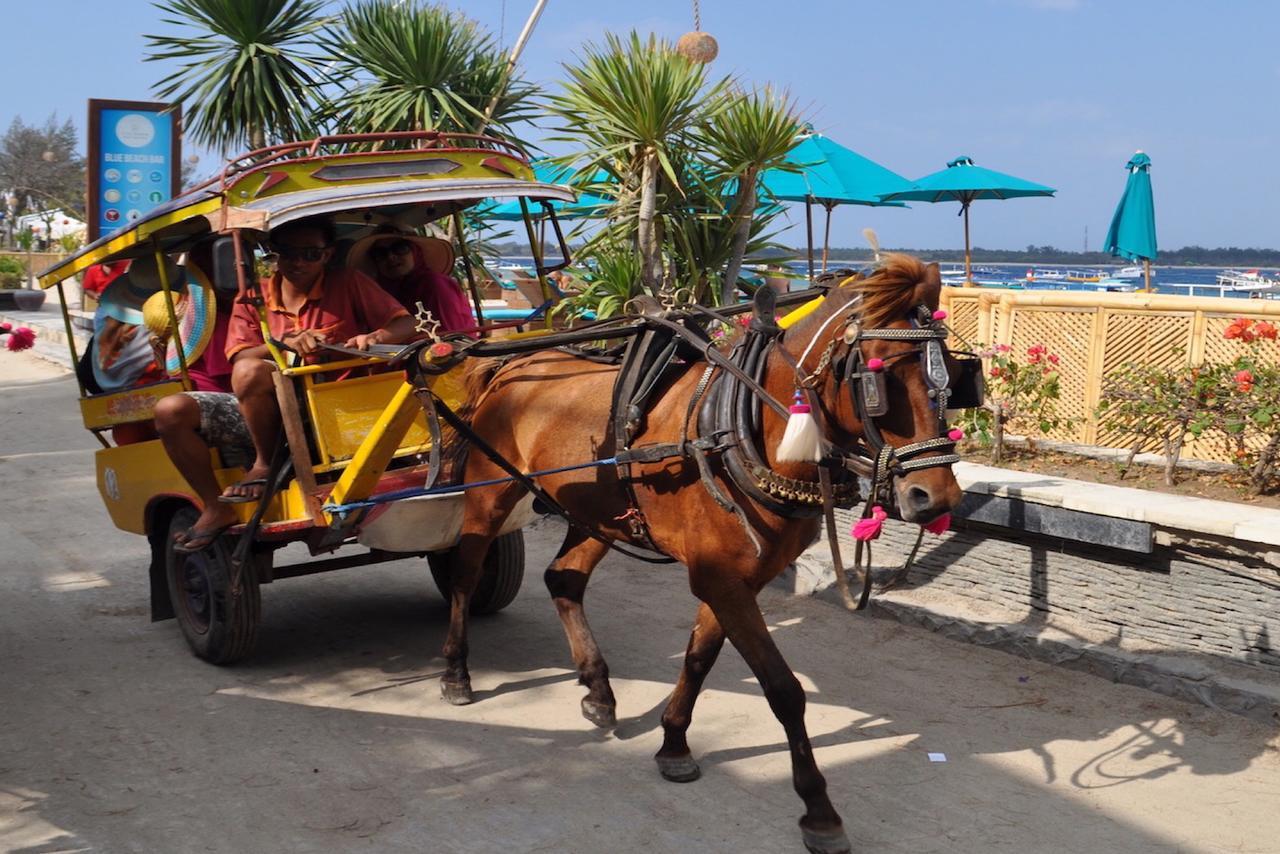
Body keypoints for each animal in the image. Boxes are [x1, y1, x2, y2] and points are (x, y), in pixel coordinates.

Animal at [430, 256, 962, 854]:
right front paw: (819, 811)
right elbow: (783, 689)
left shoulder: (734, 579)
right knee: (466, 574)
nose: (934, 498)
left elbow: (699, 658)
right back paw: (456, 672)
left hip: (600, 513)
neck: (742, 429)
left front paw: (674, 743)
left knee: (563, 579)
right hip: (489, 493)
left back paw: (598, 688)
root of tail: (514, 361)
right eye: (879, 378)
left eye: (953, 377)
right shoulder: (721, 579)